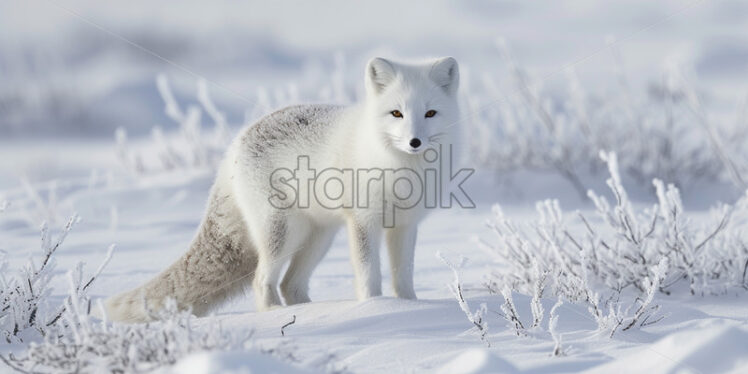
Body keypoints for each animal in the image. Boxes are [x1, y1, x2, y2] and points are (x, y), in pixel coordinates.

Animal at [102, 57, 458, 322]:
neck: (401, 169)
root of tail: (235, 145)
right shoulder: (363, 221)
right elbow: (369, 275)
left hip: (318, 238)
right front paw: (373, 308)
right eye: (396, 113)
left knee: (291, 285)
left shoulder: (405, 225)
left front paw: (410, 306)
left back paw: (312, 311)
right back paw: (275, 315)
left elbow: (403, 275)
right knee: (263, 279)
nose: (414, 141)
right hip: (282, 234)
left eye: (430, 113)